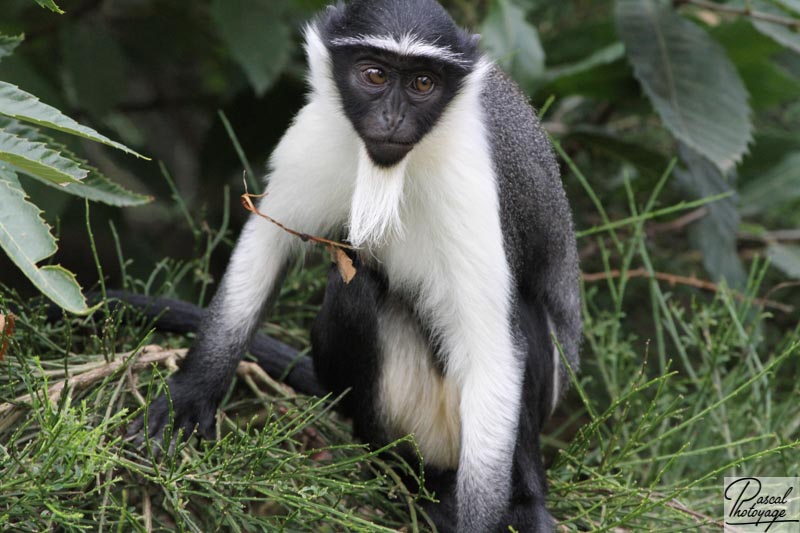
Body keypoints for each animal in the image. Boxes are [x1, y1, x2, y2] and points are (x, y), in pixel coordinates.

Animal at [130, 2, 580, 528]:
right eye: (374, 74)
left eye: (423, 83)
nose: (392, 116)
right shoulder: (317, 134)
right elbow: (266, 247)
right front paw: (189, 394)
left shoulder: (470, 180)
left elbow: (492, 349)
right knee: (353, 285)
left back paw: (517, 501)